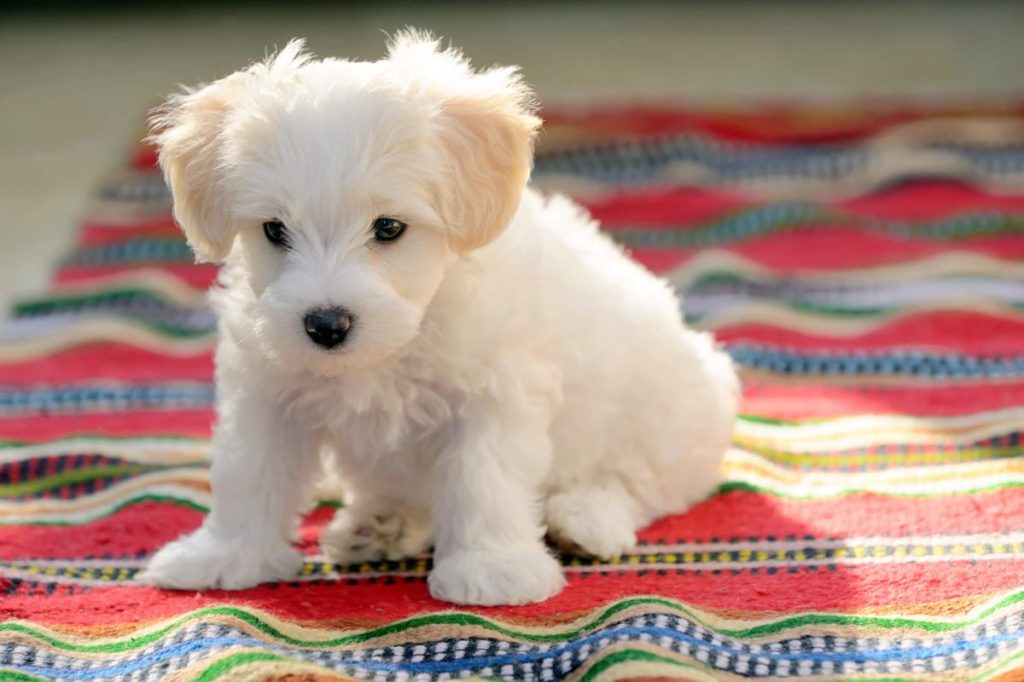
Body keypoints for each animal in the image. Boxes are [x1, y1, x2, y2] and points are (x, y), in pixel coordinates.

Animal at [144, 33, 737, 606]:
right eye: (274, 230)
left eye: (388, 227)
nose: (326, 325)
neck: (398, 341)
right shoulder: (268, 389)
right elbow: (249, 472)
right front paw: (224, 556)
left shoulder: (492, 393)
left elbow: (484, 479)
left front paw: (492, 569)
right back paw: (382, 525)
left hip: (672, 412)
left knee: (641, 484)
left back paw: (585, 519)